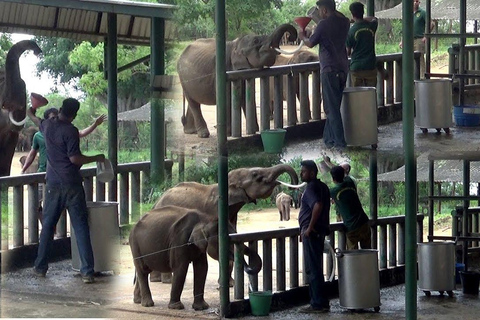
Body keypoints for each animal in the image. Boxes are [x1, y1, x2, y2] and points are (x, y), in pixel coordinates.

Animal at [129, 206, 260, 308]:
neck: (204, 219)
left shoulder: (198, 247)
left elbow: (202, 268)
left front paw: (202, 307)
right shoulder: (180, 240)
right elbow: (181, 268)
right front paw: (176, 307)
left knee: (143, 271)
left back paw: (138, 301)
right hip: (135, 244)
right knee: (142, 270)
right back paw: (147, 304)